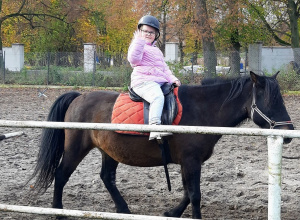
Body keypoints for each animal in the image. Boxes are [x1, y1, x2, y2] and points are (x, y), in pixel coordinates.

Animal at [29, 72, 292, 218]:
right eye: (271, 101)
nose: (289, 133)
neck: (202, 110)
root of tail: (79, 97)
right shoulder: (190, 161)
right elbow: (195, 194)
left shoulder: (188, 163)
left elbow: (187, 192)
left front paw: (172, 213)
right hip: (75, 149)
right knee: (61, 175)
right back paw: (59, 213)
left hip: (109, 151)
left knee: (107, 177)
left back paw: (124, 210)